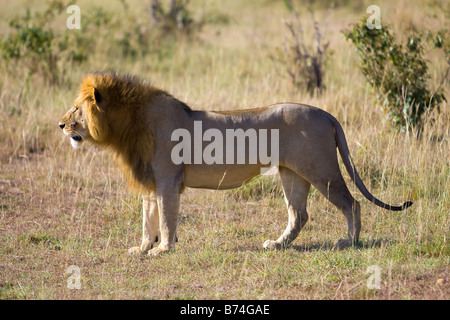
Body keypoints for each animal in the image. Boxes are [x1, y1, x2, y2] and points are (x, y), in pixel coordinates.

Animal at [58, 71, 414, 256]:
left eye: (76, 108)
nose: (61, 125)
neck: (127, 127)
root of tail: (327, 114)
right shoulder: (150, 181)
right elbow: (148, 219)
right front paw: (142, 248)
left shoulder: (168, 180)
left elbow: (166, 219)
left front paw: (164, 249)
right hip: (292, 174)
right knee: (299, 214)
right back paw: (277, 244)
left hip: (321, 169)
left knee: (351, 203)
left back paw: (350, 242)